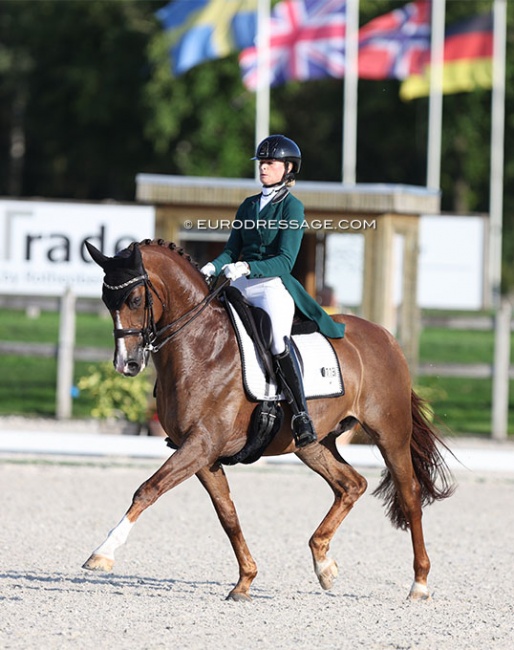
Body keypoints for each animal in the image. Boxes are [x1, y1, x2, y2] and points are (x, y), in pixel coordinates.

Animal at [81, 240, 452, 600]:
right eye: (105, 301)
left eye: (134, 299)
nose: (127, 364)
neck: (201, 345)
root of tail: (385, 336)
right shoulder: (203, 454)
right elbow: (228, 515)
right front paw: (245, 581)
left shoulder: (201, 444)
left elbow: (148, 489)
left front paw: (102, 553)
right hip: (312, 444)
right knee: (351, 484)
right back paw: (323, 564)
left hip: (390, 432)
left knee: (410, 495)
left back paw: (419, 584)